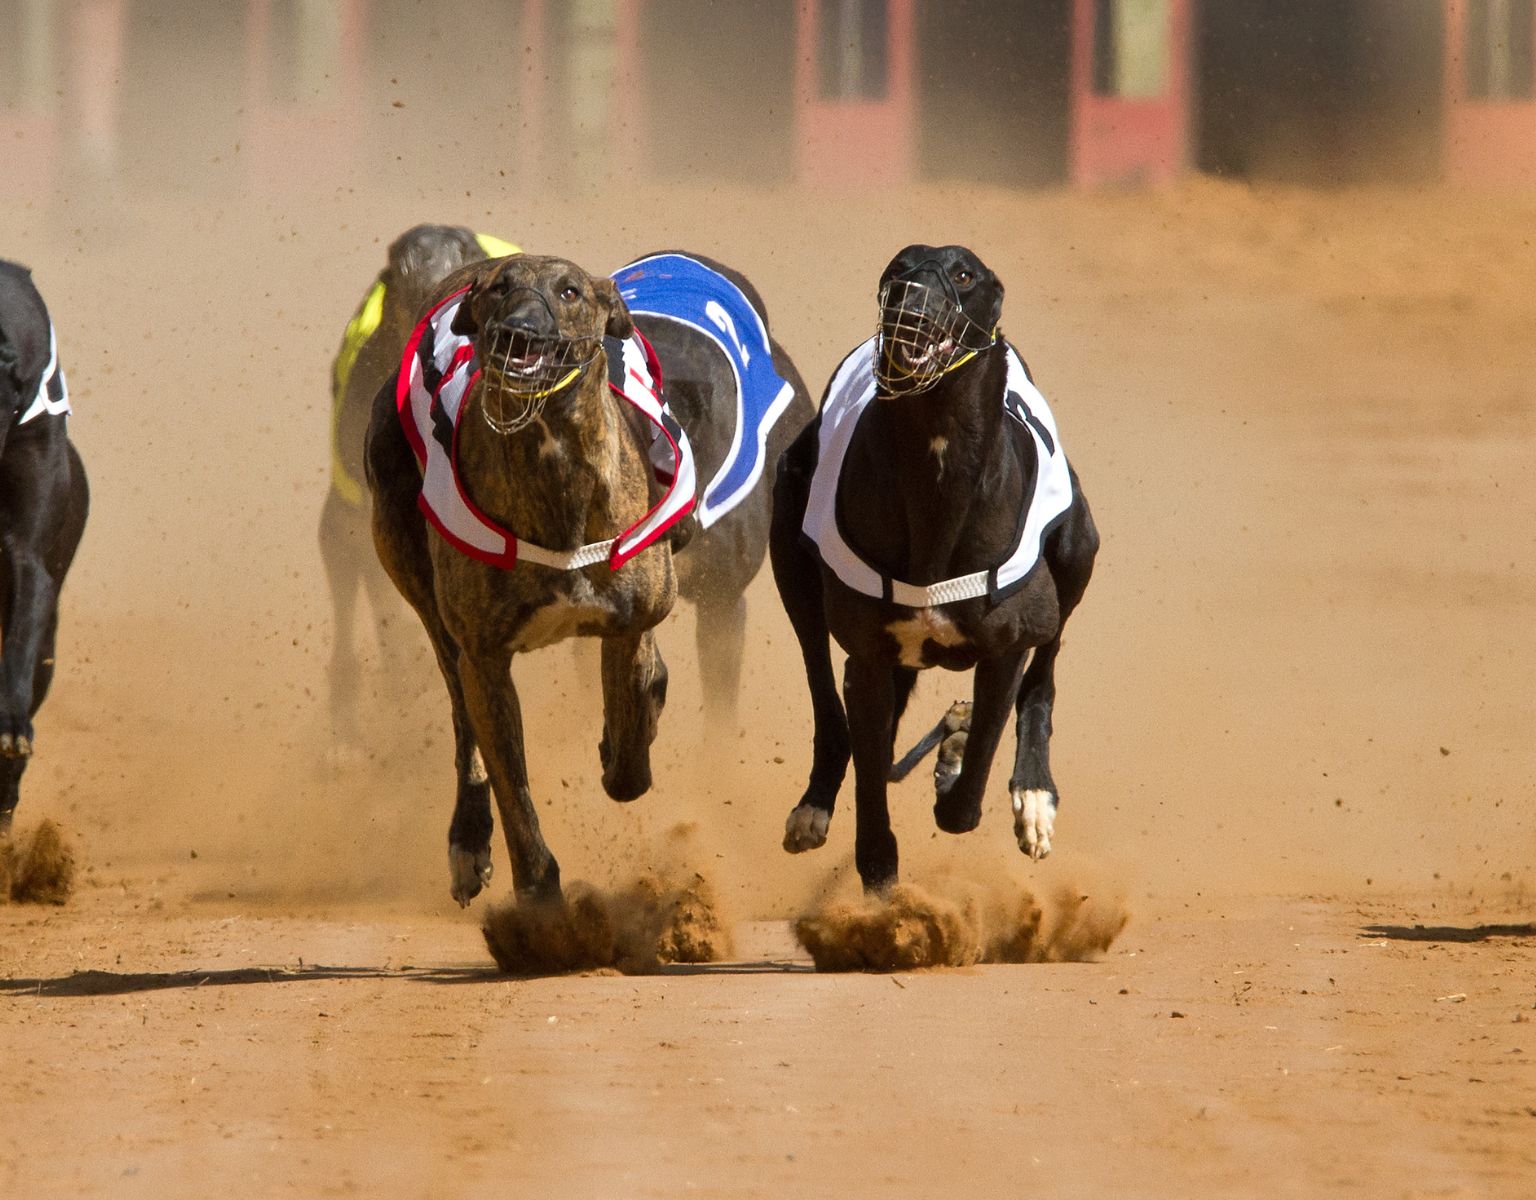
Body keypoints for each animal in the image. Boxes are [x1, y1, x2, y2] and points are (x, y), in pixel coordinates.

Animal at [774, 242, 1099, 891]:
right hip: (788, 549)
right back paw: (815, 803)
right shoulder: (869, 662)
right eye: (897, 270)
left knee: (1044, 675)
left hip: (1078, 553)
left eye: (964, 275)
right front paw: (880, 870)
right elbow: (872, 778)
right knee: (828, 699)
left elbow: (966, 796)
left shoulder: (1005, 650)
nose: (912, 301)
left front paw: (957, 764)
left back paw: (1032, 792)